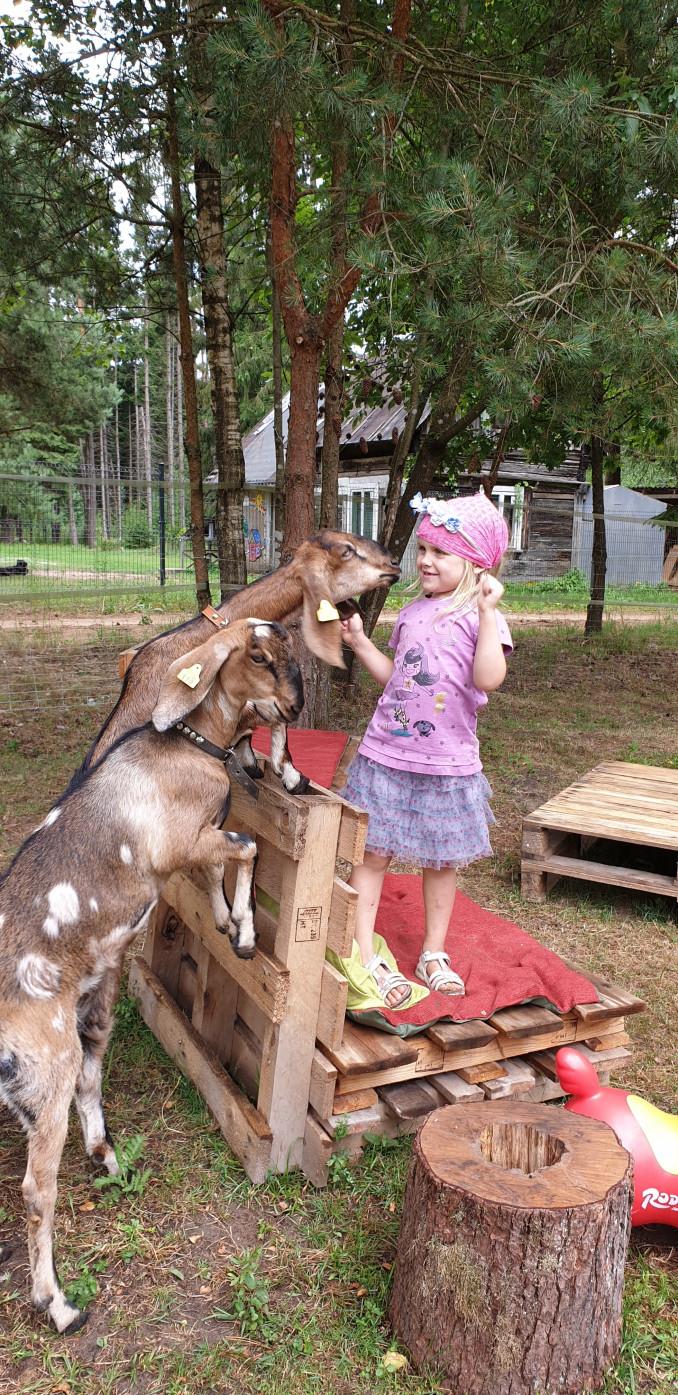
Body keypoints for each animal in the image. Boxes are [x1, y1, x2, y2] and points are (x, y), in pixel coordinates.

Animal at [0, 619, 301, 1328]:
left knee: (89, 1078)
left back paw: (106, 1155)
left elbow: (224, 865)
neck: (184, 747)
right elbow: (246, 849)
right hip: (47, 1068)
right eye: (258, 654)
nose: (296, 707)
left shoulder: (198, 845)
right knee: (36, 1190)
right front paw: (246, 930)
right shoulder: (184, 841)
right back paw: (57, 1303)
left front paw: (226, 920)